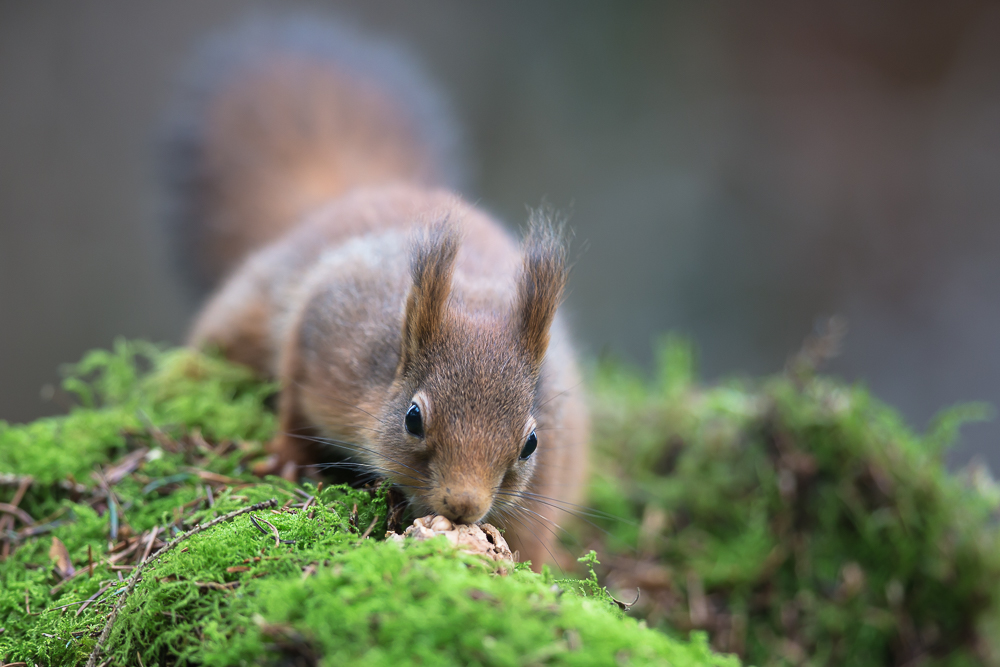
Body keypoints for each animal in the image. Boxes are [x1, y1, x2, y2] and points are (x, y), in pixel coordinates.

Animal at [163, 17, 584, 568]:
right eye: (413, 418)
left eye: (531, 442)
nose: (464, 505)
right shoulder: (325, 331)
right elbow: (293, 400)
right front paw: (288, 457)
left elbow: (536, 534)